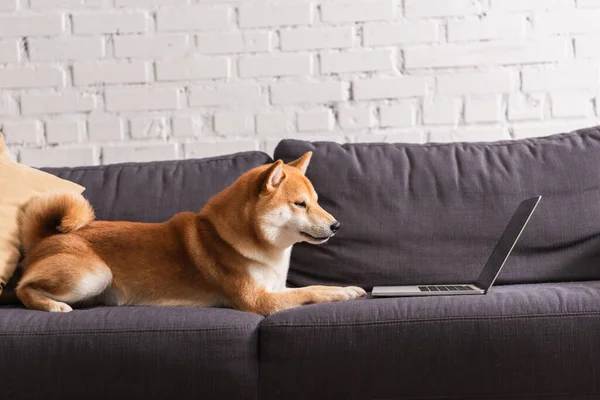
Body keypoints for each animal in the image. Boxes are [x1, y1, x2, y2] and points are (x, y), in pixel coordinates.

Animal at [16, 152, 368, 314]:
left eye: (317, 202)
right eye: (300, 204)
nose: (336, 225)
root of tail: (44, 238)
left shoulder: (275, 288)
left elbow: (308, 286)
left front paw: (343, 287)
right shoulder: (259, 300)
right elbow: (311, 291)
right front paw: (343, 292)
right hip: (94, 274)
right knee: (22, 288)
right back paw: (51, 306)